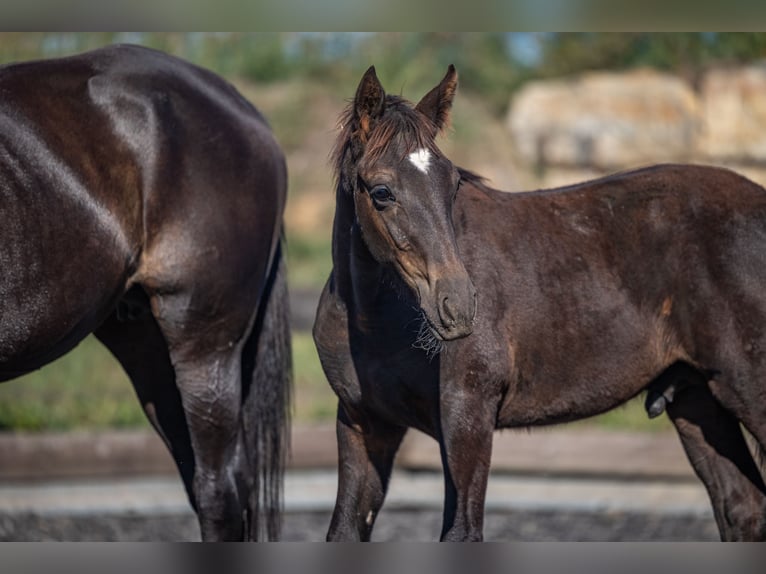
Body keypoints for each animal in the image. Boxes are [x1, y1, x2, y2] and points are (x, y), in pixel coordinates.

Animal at [313, 64, 766, 541]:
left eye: (453, 184)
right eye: (381, 192)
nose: (458, 305)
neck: (376, 323)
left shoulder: (467, 417)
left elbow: (462, 531)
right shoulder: (365, 424)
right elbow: (344, 530)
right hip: (696, 398)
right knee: (742, 507)